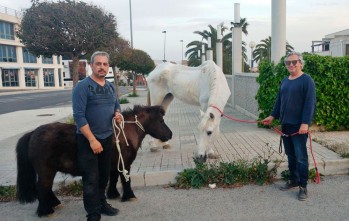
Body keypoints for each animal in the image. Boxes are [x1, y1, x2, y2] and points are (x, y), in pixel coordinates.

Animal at [16, 94, 173, 217]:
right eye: (161, 121)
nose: (170, 135)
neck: (124, 132)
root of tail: (33, 133)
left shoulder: (113, 164)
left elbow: (114, 179)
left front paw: (113, 194)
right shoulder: (125, 163)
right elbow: (125, 179)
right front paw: (129, 196)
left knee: (46, 187)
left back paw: (54, 204)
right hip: (46, 170)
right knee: (42, 186)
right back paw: (46, 211)